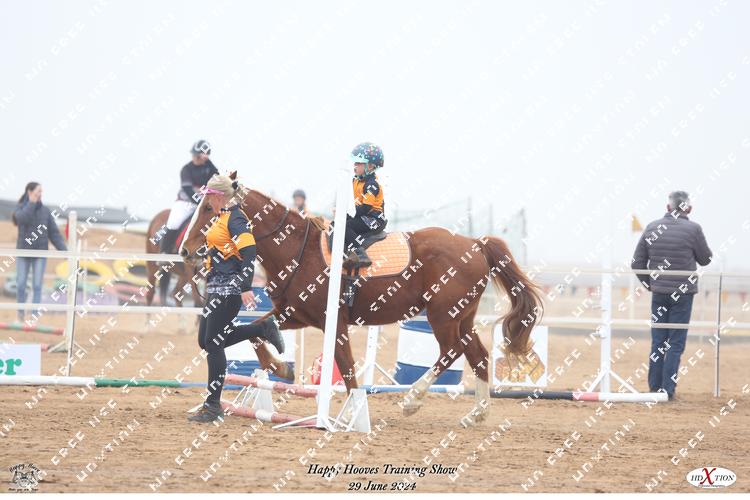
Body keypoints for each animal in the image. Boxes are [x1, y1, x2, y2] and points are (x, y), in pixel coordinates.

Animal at [178, 173, 543, 425]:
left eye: (209, 208)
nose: (184, 251)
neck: (299, 250)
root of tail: (475, 244)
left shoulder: (334, 323)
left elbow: (348, 370)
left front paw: (352, 414)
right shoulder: (295, 314)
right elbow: (259, 332)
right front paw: (279, 367)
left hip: (443, 317)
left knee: (451, 351)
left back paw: (412, 399)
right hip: (461, 317)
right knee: (477, 354)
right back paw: (476, 414)